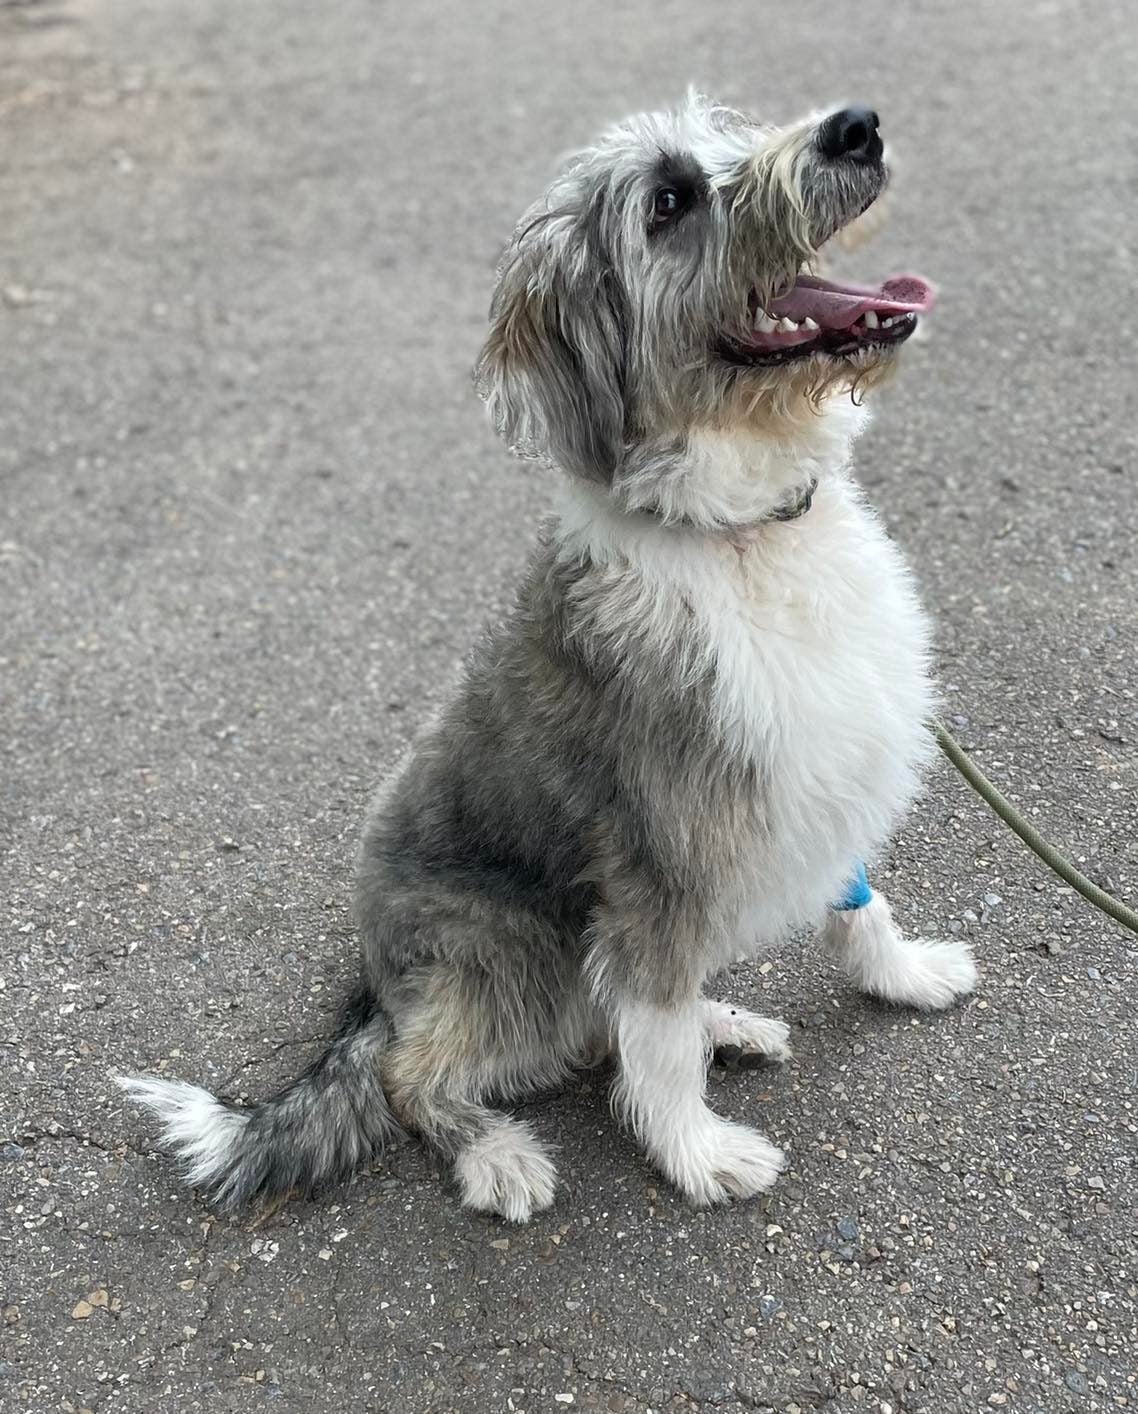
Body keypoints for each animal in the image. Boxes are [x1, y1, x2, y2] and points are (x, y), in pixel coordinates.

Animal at [122, 94, 978, 1221]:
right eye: (669, 203)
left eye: (734, 128)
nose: (855, 126)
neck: (736, 532)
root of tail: (378, 985)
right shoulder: (659, 860)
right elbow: (654, 1042)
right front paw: (695, 1152)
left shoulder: (819, 768)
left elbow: (857, 906)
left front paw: (904, 974)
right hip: (516, 951)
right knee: (419, 1071)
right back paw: (495, 1152)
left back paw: (727, 1023)